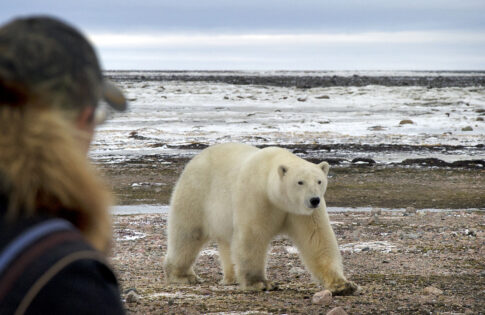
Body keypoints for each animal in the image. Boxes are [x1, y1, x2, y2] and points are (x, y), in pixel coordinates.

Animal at [164, 143, 358, 296]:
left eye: (319, 181)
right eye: (300, 182)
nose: (314, 200)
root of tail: (195, 159)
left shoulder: (304, 213)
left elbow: (317, 239)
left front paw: (343, 285)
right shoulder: (257, 197)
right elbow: (252, 237)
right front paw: (260, 283)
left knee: (226, 242)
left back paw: (232, 277)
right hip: (196, 194)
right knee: (187, 235)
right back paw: (183, 275)